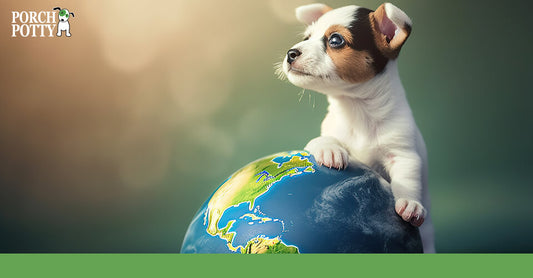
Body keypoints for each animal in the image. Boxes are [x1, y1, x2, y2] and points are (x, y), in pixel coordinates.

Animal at [276, 2, 434, 254]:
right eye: (306, 38)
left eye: (335, 40)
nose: (291, 53)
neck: (356, 110)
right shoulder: (326, 131)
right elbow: (321, 140)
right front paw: (330, 151)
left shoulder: (403, 153)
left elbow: (407, 179)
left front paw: (411, 204)